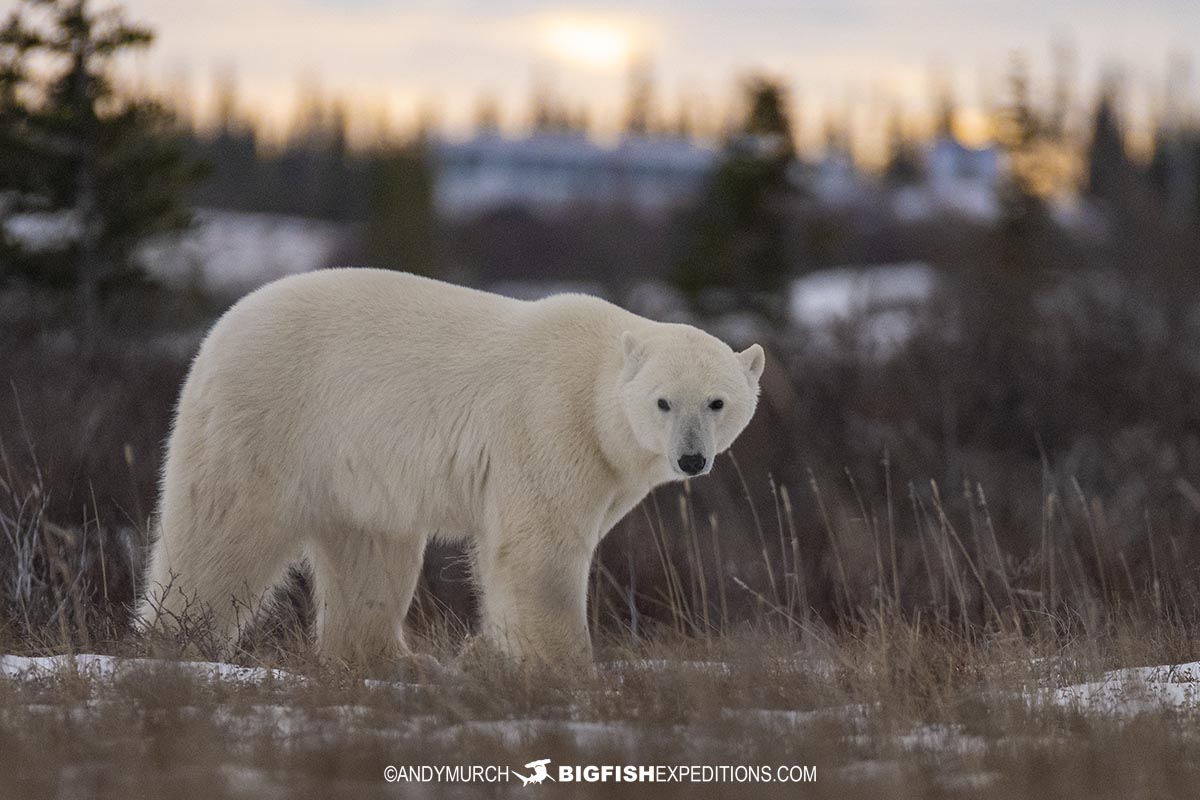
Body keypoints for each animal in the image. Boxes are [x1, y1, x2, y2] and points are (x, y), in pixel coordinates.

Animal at [136, 271, 763, 671]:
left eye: (717, 402)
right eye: (663, 402)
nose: (691, 458)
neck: (595, 384)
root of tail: (221, 327)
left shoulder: (605, 470)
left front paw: (482, 653)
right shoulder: (549, 423)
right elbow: (537, 551)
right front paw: (568, 669)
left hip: (357, 473)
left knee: (370, 556)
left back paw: (394, 659)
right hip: (268, 415)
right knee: (220, 534)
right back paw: (175, 640)